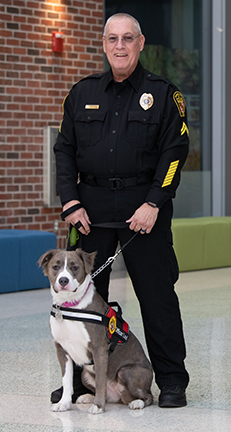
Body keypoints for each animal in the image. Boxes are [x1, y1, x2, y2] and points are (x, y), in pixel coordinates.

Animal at [38, 248, 153, 414]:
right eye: (55, 267)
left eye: (74, 267)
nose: (63, 281)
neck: (70, 305)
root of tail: (119, 395)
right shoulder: (61, 349)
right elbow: (67, 380)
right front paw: (64, 403)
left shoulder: (99, 349)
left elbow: (100, 380)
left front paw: (98, 406)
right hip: (85, 374)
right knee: (106, 393)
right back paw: (88, 397)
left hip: (127, 371)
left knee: (148, 396)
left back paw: (137, 402)